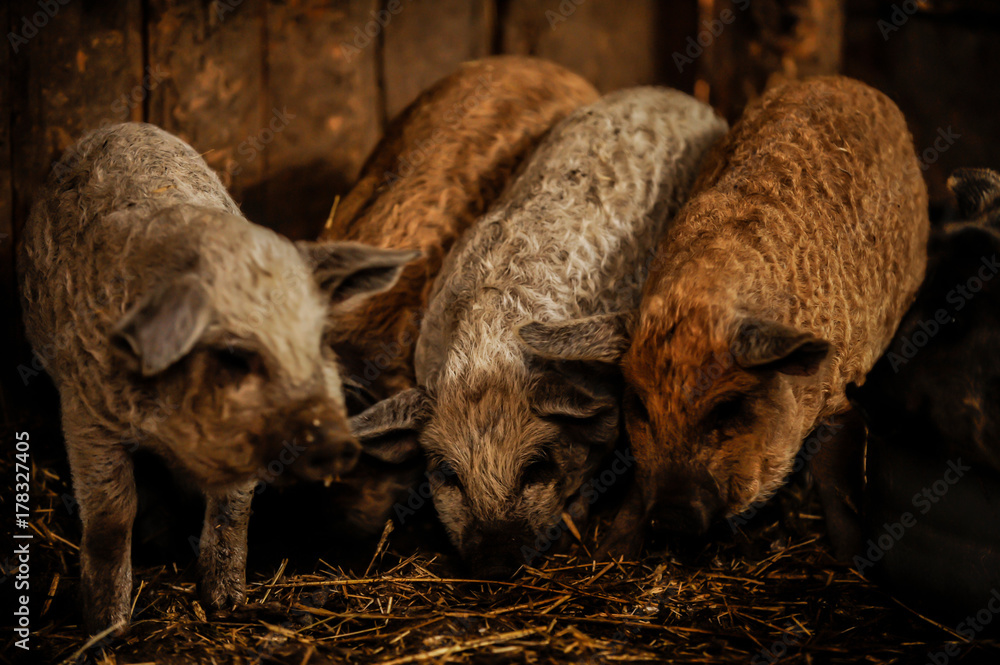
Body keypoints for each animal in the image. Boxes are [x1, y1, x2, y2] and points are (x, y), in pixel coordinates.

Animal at [16, 122, 417, 634]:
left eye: (321, 338)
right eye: (234, 355)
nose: (336, 443)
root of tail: (120, 125)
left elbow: (232, 508)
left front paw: (228, 605)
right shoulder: (85, 412)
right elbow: (111, 514)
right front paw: (107, 629)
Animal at [569, 76, 930, 557]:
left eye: (728, 409)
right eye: (642, 408)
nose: (669, 517)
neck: (700, 298)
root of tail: (852, 83)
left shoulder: (839, 395)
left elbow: (836, 482)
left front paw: (851, 558)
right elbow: (636, 485)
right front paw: (613, 550)